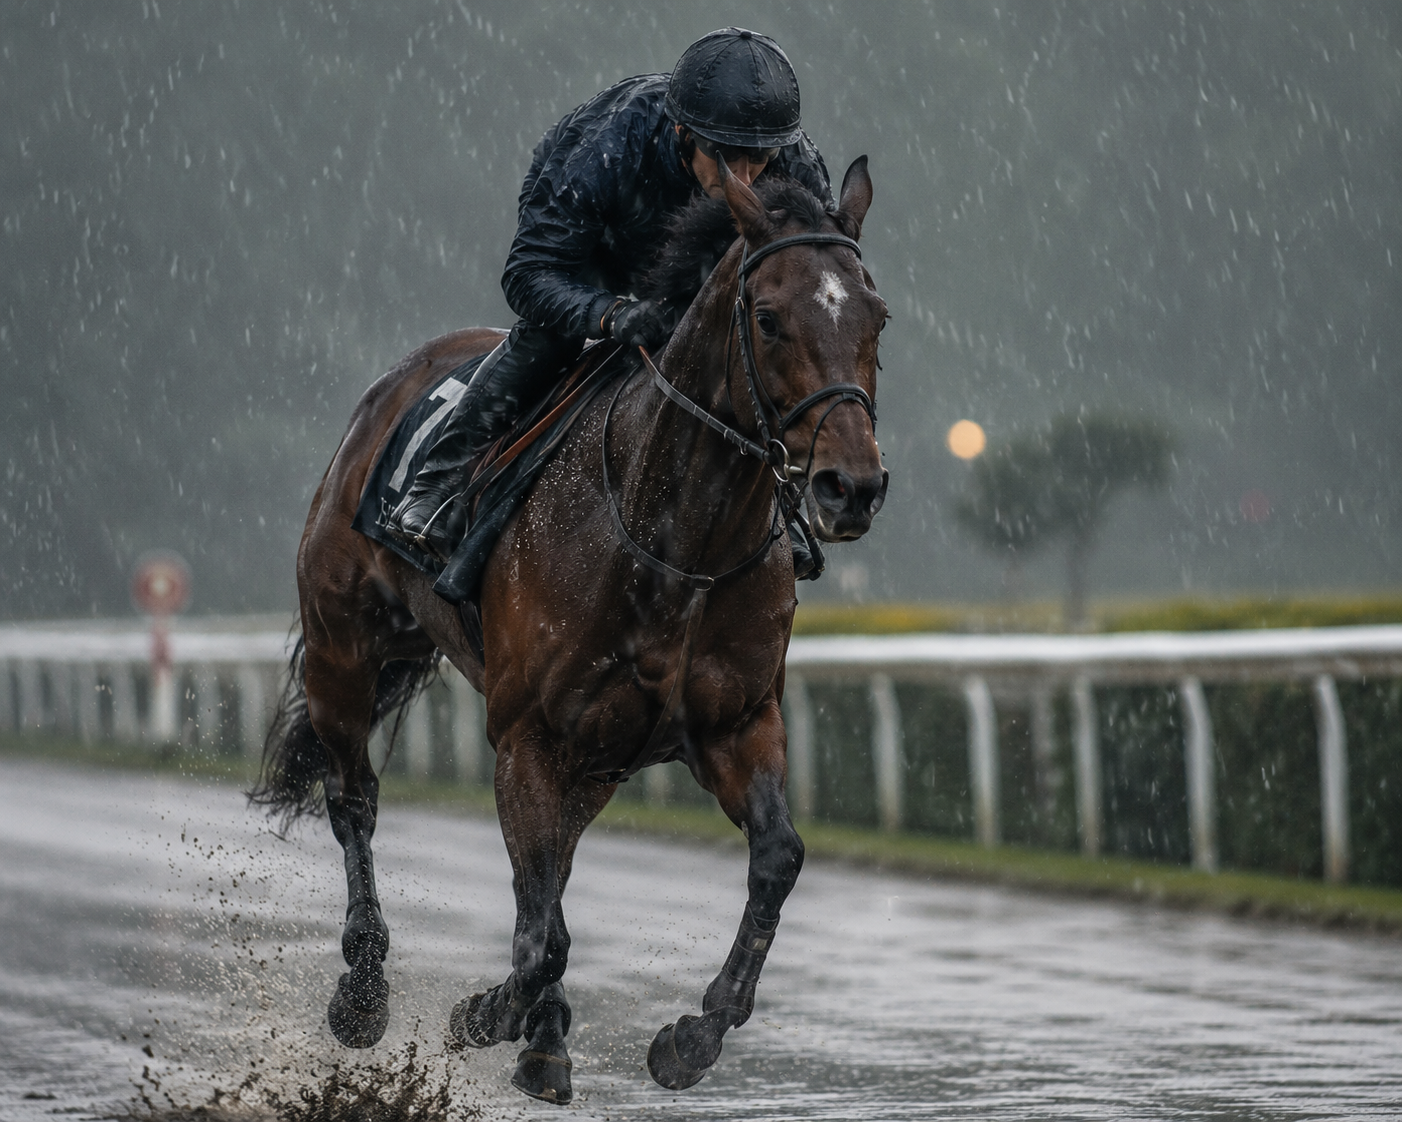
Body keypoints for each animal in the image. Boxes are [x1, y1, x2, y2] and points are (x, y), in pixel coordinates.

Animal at [253, 157, 888, 1105]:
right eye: (769, 316)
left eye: (876, 315)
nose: (853, 486)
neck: (676, 545)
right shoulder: (529, 737)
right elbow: (540, 927)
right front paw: (486, 1015)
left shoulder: (734, 723)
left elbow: (776, 859)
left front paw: (691, 1036)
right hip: (344, 651)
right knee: (356, 803)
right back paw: (366, 993)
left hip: (597, 755)